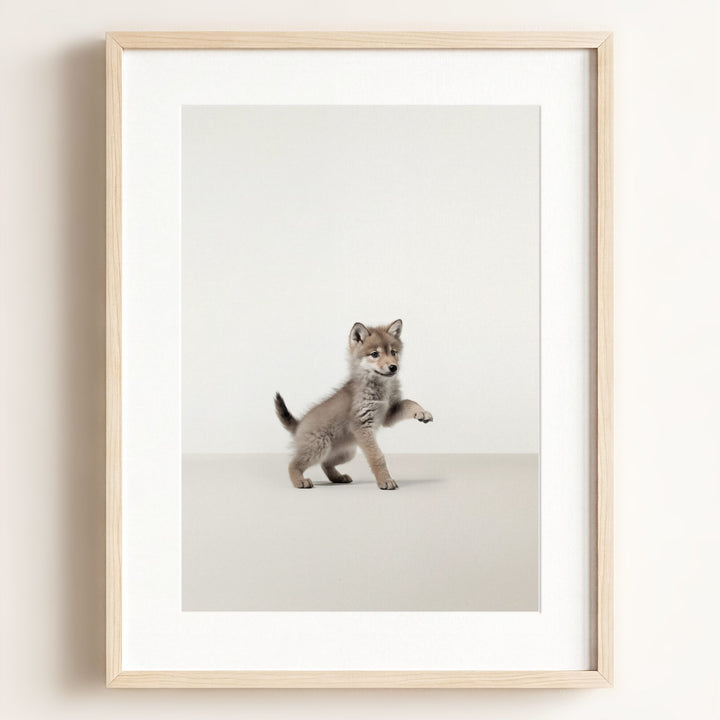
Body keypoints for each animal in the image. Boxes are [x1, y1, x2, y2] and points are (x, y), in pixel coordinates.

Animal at [274, 319, 433, 490]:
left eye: (393, 352)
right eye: (374, 354)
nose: (393, 367)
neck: (380, 387)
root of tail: (298, 425)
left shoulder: (388, 414)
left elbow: (409, 402)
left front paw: (422, 412)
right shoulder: (363, 426)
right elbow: (377, 457)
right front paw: (385, 480)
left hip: (346, 453)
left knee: (325, 463)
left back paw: (338, 477)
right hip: (319, 447)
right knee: (293, 464)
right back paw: (299, 481)